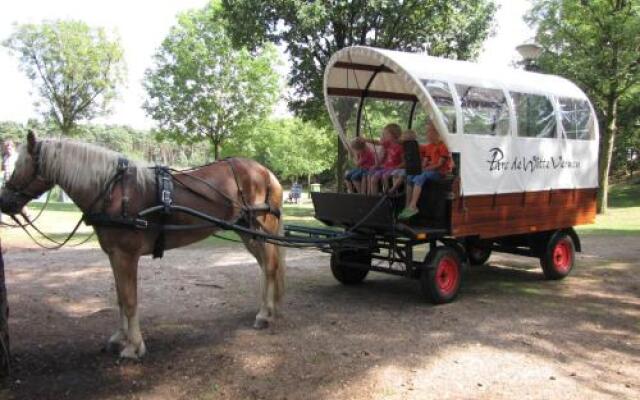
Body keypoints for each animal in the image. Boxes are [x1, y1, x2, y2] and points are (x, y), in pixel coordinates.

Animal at [0, 131, 284, 360]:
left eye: (20, 165)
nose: (5, 202)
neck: (113, 192)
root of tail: (266, 172)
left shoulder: (126, 255)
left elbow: (129, 299)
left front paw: (134, 346)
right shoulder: (113, 254)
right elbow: (119, 297)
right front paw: (120, 338)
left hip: (260, 229)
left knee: (269, 265)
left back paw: (264, 314)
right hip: (247, 232)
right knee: (264, 266)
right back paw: (267, 309)